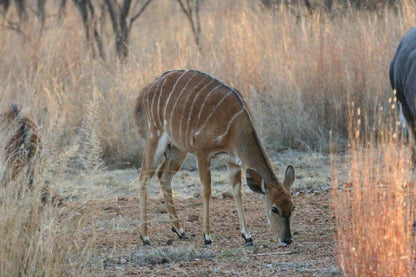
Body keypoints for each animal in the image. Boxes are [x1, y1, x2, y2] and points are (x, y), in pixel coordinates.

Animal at [136, 69, 296, 246]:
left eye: (292, 207)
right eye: (274, 208)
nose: (287, 239)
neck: (236, 126)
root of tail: (147, 89)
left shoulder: (233, 161)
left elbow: (237, 190)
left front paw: (247, 236)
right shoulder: (202, 152)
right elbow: (207, 190)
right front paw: (207, 237)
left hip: (178, 148)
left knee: (163, 176)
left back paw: (180, 231)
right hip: (154, 137)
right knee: (144, 177)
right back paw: (145, 237)